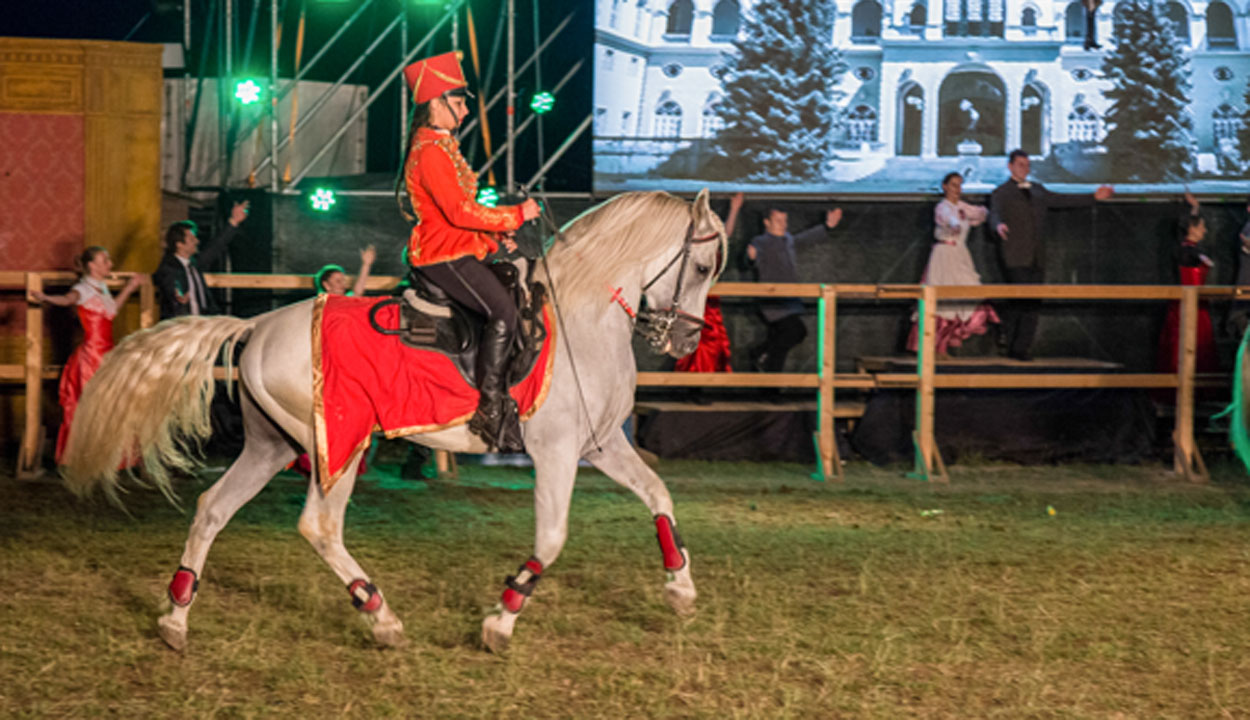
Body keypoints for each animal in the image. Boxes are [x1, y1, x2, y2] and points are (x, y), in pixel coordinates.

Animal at [63, 190, 730, 650]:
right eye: (701, 269)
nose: (683, 341)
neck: (584, 319)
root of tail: (258, 325)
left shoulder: (601, 445)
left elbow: (658, 494)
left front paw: (681, 589)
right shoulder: (559, 452)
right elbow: (552, 538)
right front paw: (500, 622)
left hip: (270, 446)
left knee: (212, 509)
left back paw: (176, 617)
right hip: (340, 445)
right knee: (319, 526)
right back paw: (380, 617)